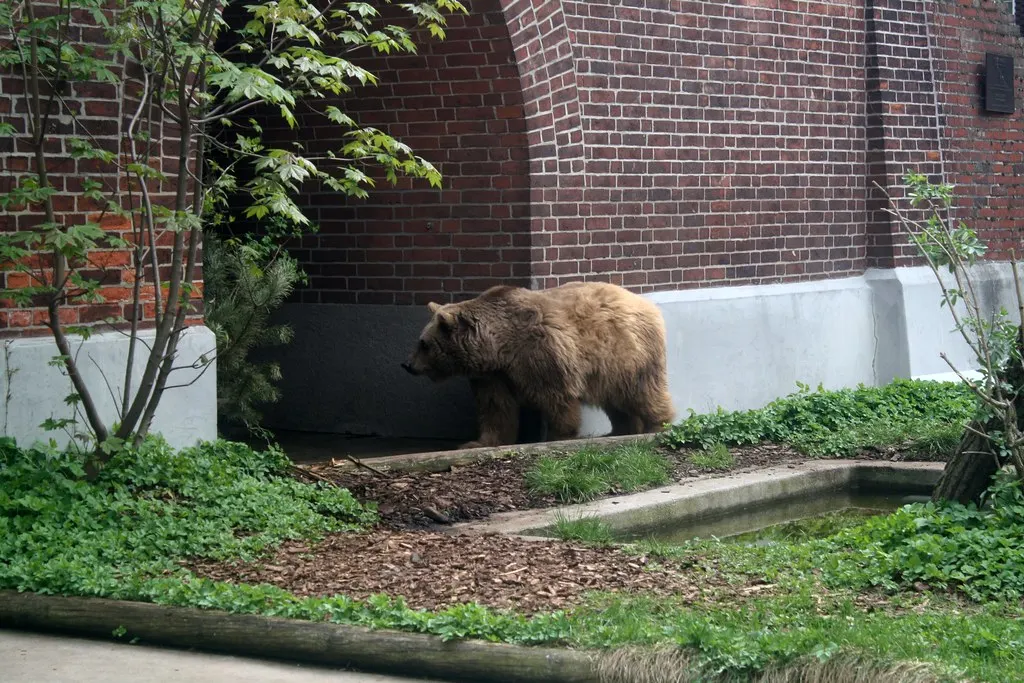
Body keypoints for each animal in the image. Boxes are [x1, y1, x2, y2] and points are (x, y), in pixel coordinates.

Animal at [401, 281, 676, 449]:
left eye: (424, 344)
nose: (407, 364)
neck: (500, 348)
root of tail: (647, 304)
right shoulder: (492, 376)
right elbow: (495, 408)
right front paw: (479, 442)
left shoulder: (541, 356)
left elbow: (558, 400)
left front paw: (557, 436)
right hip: (611, 370)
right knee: (617, 402)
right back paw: (619, 431)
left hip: (627, 355)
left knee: (644, 392)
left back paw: (656, 424)